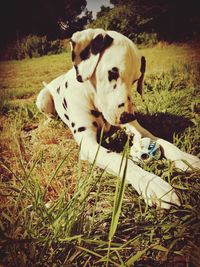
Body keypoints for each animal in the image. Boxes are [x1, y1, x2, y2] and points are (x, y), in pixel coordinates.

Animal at [36, 28, 199, 209]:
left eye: (135, 80)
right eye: (112, 73)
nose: (128, 116)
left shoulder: (139, 129)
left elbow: (163, 142)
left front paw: (186, 159)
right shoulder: (88, 144)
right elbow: (117, 159)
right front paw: (151, 183)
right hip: (43, 99)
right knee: (49, 114)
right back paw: (49, 121)